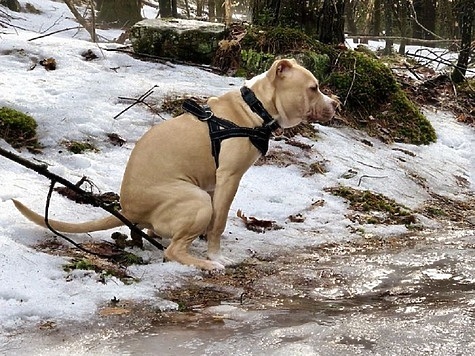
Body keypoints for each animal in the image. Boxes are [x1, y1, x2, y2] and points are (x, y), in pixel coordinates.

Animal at [13, 58, 340, 270]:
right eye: (314, 88)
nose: (337, 104)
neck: (253, 108)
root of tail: (128, 209)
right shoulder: (229, 178)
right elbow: (219, 222)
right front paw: (215, 255)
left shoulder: (214, 184)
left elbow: (215, 221)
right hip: (195, 200)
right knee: (172, 251)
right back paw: (205, 264)